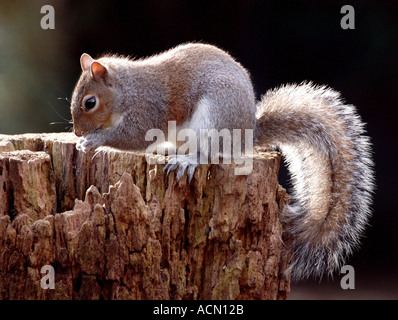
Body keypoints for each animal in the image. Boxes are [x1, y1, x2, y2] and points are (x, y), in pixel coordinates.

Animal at [70, 42, 374, 280]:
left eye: (89, 102)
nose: (77, 132)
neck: (127, 90)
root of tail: (247, 135)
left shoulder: (147, 111)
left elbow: (130, 137)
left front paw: (93, 141)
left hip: (214, 120)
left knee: (207, 153)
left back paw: (188, 160)